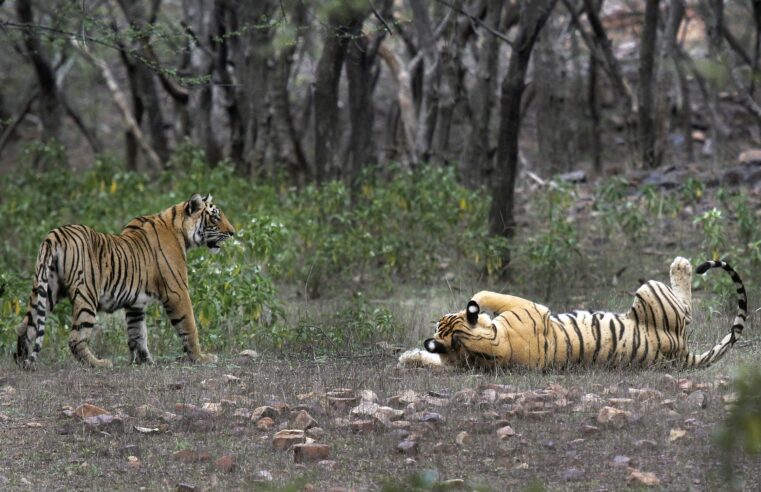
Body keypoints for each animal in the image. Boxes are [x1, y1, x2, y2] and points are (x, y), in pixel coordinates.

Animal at [14, 193, 235, 368]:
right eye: (215, 217)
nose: (233, 232)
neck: (180, 230)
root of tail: (55, 235)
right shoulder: (177, 291)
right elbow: (189, 326)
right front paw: (201, 358)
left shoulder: (135, 303)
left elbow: (138, 333)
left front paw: (145, 361)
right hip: (86, 295)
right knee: (76, 338)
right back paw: (99, 363)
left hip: (47, 289)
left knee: (26, 325)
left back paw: (20, 361)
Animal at [400, 260, 744, 370]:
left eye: (442, 319)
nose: (440, 316)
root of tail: (681, 352)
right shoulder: (529, 307)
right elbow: (484, 295)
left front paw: (409, 357)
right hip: (650, 290)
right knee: (687, 309)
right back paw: (682, 264)